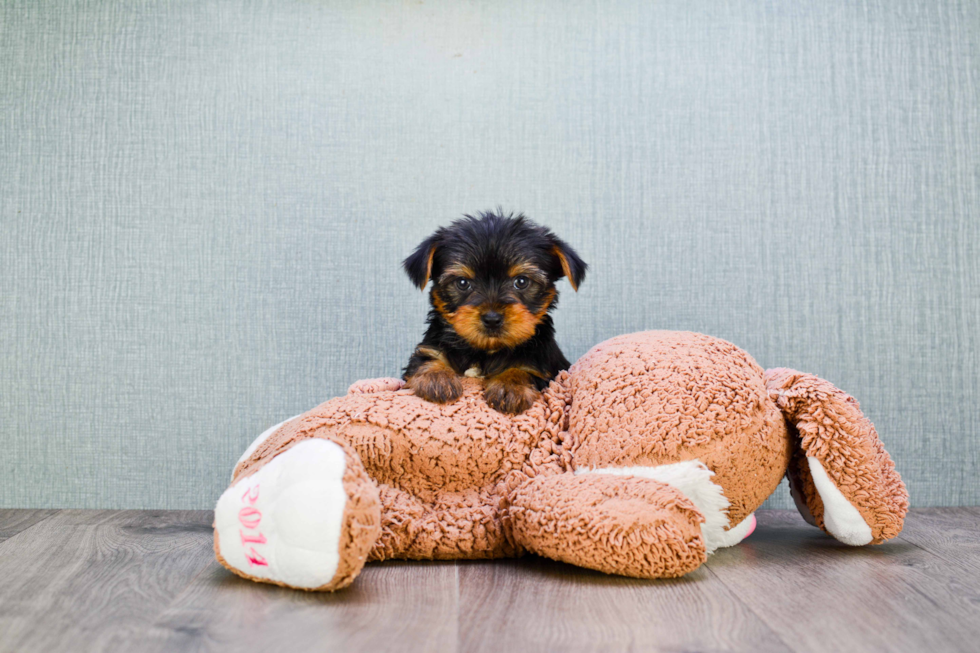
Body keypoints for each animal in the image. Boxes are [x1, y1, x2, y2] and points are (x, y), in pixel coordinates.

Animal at [402, 209, 584, 412]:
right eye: (462, 283)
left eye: (522, 281)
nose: (492, 318)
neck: (485, 351)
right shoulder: (428, 348)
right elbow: (426, 359)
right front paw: (437, 378)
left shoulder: (544, 367)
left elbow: (524, 370)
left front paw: (510, 386)